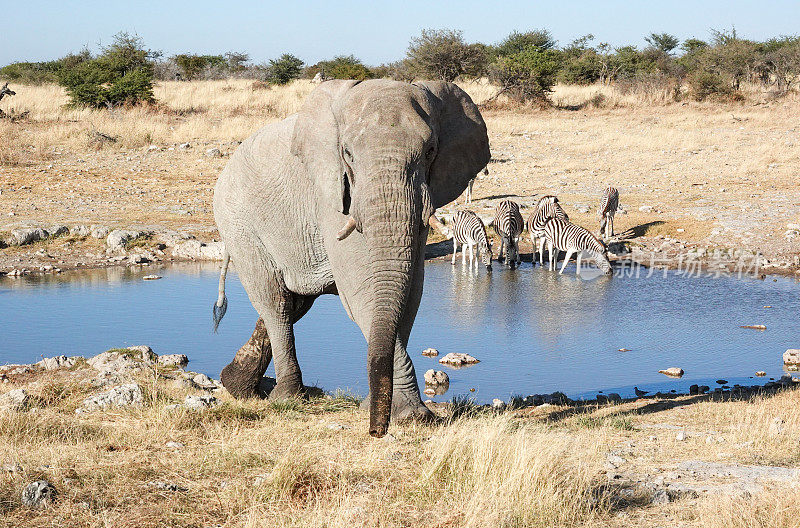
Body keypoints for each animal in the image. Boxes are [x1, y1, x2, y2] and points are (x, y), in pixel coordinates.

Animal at [209, 78, 490, 438]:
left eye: (430, 152)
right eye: (348, 155)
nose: (375, 431)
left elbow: (410, 289)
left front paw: (402, 413)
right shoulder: (332, 193)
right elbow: (362, 290)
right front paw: (410, 415)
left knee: (295, 302)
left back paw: (235, 384)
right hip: (239, 223)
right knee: (276, 303)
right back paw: (287, 398)